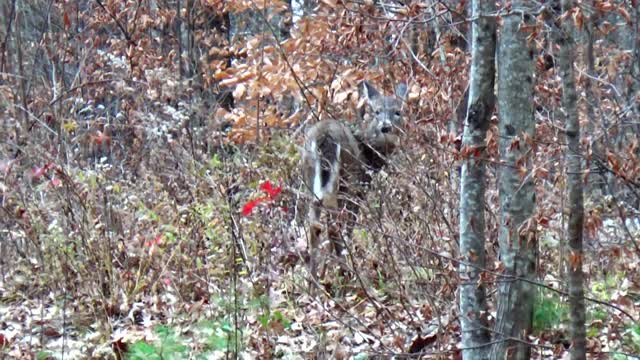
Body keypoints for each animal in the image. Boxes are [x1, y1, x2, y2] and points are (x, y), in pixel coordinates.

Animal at [302, 81, 408, 278]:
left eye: (398, 112)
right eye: (377, 111)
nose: (386, 127)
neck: (369, 154)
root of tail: (324, 136)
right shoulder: (360, 188)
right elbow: (350, 225)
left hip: (310, 176)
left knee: (314, 225)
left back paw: (314, 280)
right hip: (344, 180)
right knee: (334, 226)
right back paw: (345, 269)